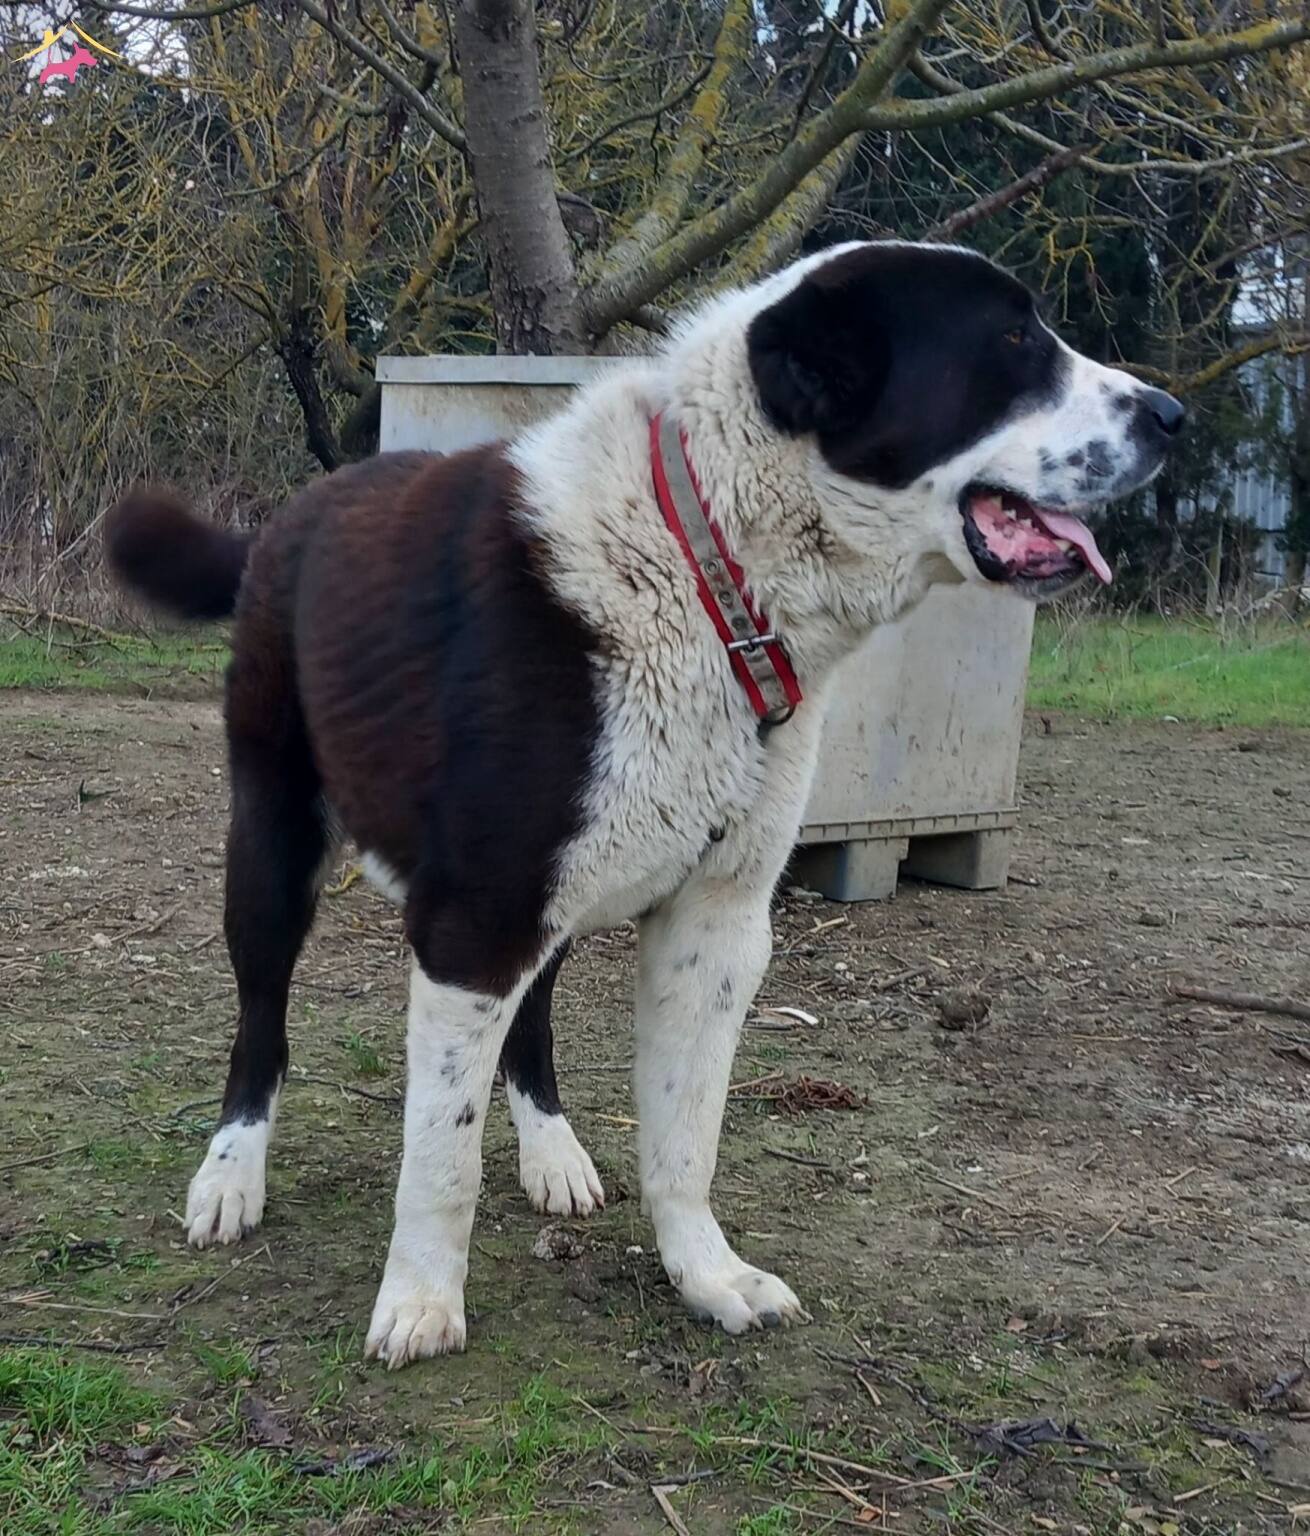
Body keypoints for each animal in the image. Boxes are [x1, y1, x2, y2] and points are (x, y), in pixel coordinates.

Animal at [107, 240, 1182, 1367]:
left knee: (531, 1017)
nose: (1171, 415)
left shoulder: (715, 928)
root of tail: (297, 509)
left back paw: (551, 1150)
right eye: (1012, 342)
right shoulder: (470, 923)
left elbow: (684, 1136)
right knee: (261, 1025)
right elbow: (441, 1159)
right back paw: (231, 1174)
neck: (706, 567)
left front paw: (705, 1275)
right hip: (273, 852)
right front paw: (421, 1300)